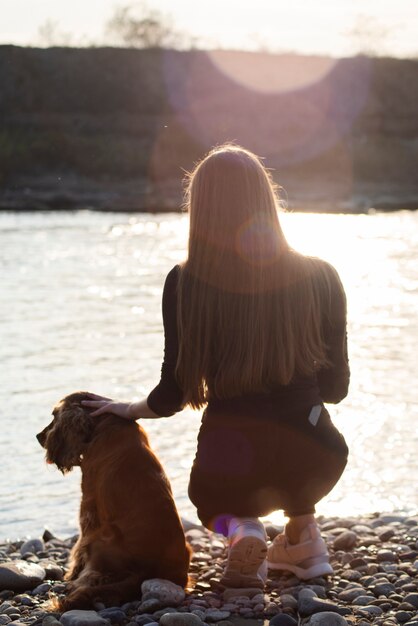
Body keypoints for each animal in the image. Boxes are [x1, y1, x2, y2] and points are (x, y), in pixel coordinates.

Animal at [36, 390, 190, 608]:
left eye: (54, 415)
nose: (38, 436)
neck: (104, 423)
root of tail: (145, 571)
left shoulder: (88, 503)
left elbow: (79, 545)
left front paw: (72, 574)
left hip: (100, 538)